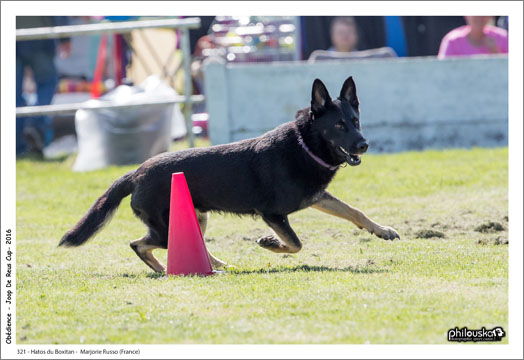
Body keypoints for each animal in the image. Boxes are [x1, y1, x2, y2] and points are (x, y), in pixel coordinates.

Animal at [60, 77, 398, 272]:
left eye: (356, 121)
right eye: (339, 125)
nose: (364, 144)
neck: (305, 145)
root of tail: (135, 173)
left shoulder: (317, 197)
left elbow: (353, 211)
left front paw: (381, 229)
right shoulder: (273, 214)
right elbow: (295, 243)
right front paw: (271, 244)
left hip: (197, 217)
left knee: (185, 246)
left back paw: (215, 265)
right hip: (167, 227)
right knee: (138, 244)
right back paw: (169, 268)